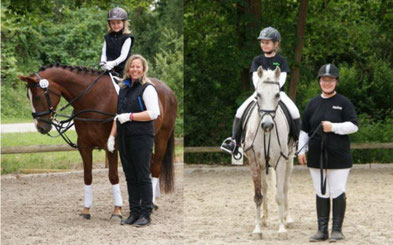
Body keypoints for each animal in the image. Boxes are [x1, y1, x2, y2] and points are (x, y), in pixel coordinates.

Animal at [19, 64, 175, 219]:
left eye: (38, 96)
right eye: (28, 96)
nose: (41, 127)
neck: (94, 100)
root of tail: (168, 89)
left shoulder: (111, 146)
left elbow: (113, 176)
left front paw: (117, 210)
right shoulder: (84, 146)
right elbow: (87, 176)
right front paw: (86, 210)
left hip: (161, 137)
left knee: (156, 166)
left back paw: (152, 203)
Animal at [242, 66, 294, 238]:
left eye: (277, 95)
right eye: (258, 95)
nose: (267, 125)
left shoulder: (280, 162)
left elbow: (279, 195)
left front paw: (282, 228)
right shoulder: (254, 162)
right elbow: (258, 196)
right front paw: (257, 229)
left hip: (289, 160)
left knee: (285, 187)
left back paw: (287, 219)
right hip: (262, 165)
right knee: (265, 188)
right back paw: (264, 218)